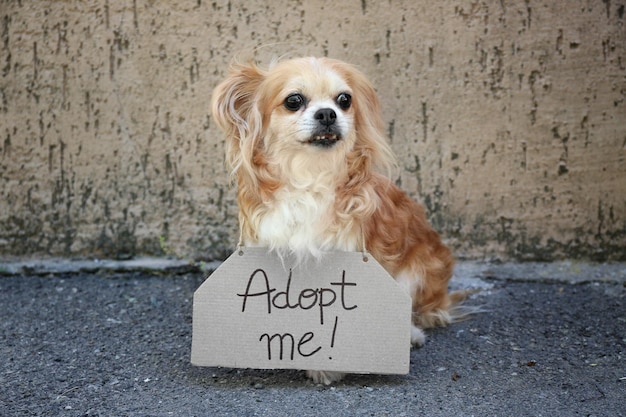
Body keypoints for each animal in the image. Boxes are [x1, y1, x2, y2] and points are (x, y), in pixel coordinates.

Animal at [210, 55, 464, 384]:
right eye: (294, 101)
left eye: (344, 100)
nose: (327, 113)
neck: (311, 175)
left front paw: (325, 366)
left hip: (418, 269)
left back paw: (413, 332)